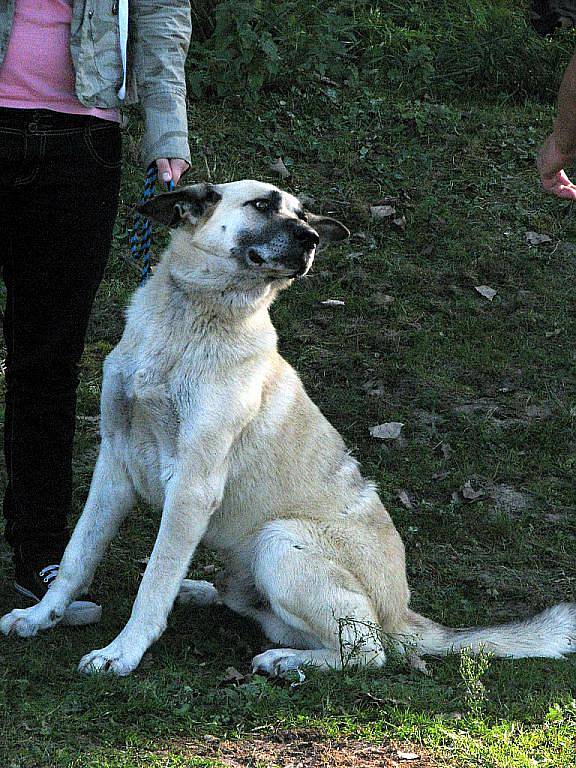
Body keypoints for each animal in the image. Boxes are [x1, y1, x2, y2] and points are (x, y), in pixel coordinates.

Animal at [2, 178, 572, 672]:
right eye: (262, 205)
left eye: (302, 216)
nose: (312, 240)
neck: (193, 321)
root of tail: (402, 614)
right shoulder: (114, 462)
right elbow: (77, 555)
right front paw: (41, 616)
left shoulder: (193, 485)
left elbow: (154, 582)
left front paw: (123, 652)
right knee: (257, 608)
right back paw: (204, 592)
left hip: (281, 541)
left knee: (367, 652)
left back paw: (287, 662)